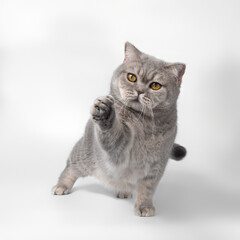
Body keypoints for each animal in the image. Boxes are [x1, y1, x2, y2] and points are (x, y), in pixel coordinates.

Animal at [51, 42, 187, 217]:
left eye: (155, 85)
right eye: (132, 77)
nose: (139, 91)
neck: (144, 123)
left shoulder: (156, 166)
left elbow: (147, 189)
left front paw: (144, 206)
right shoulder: (118, 150)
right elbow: (113, 134)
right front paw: (105, 112)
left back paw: (123, 191)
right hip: (84, 157)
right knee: (70, 168)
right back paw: (61, 186)